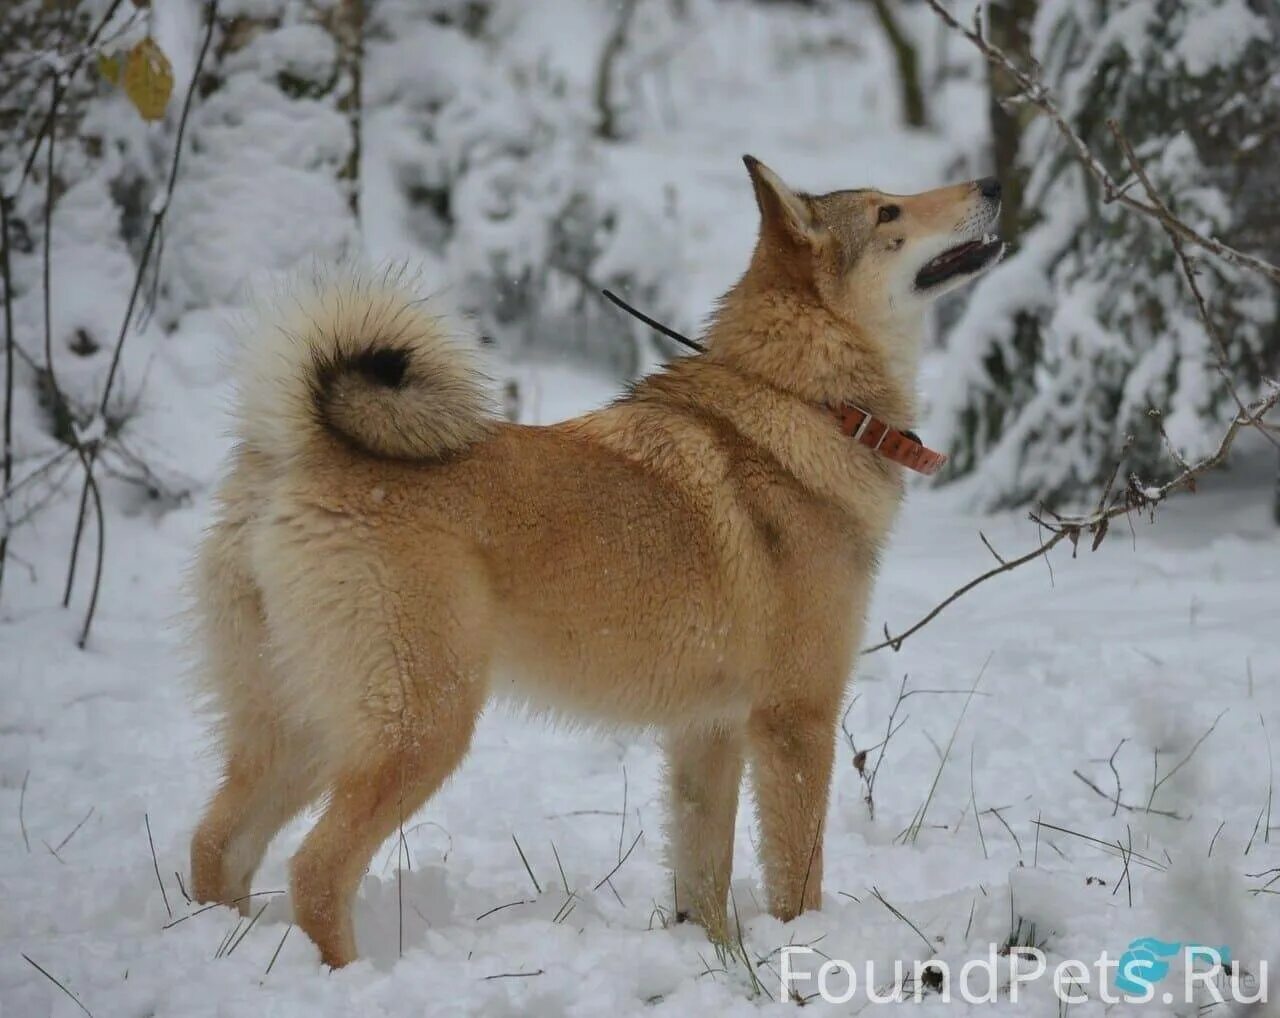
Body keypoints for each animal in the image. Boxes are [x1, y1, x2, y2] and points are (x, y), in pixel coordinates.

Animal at [189, 155, 1003, 968]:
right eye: (888, 213)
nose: (994, 184)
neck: (802, 399)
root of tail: (298, 454)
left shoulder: (706, 733)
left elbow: (703, 879)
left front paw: (718, 961)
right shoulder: (795, 719)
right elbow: (796, 878)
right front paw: (806, 950)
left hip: (300, 733)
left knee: (216, 846)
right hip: (418, 732)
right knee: (315, 870)